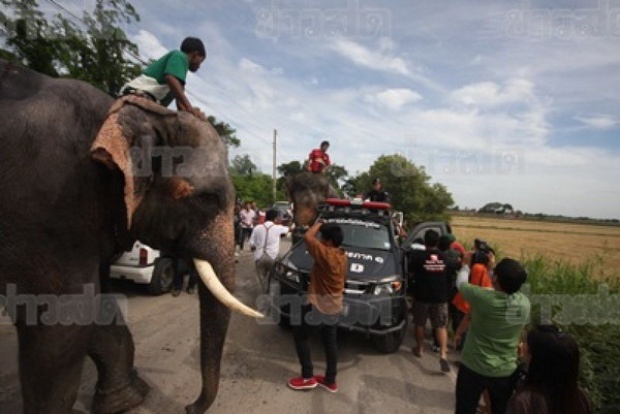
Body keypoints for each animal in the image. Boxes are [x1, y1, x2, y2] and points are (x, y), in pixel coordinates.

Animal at [0, 59, 262, 414]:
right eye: (208, 198)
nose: (188, 407)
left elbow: (97, 310)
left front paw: (126, 400)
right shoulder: (49, 204)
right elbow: (63, 322)